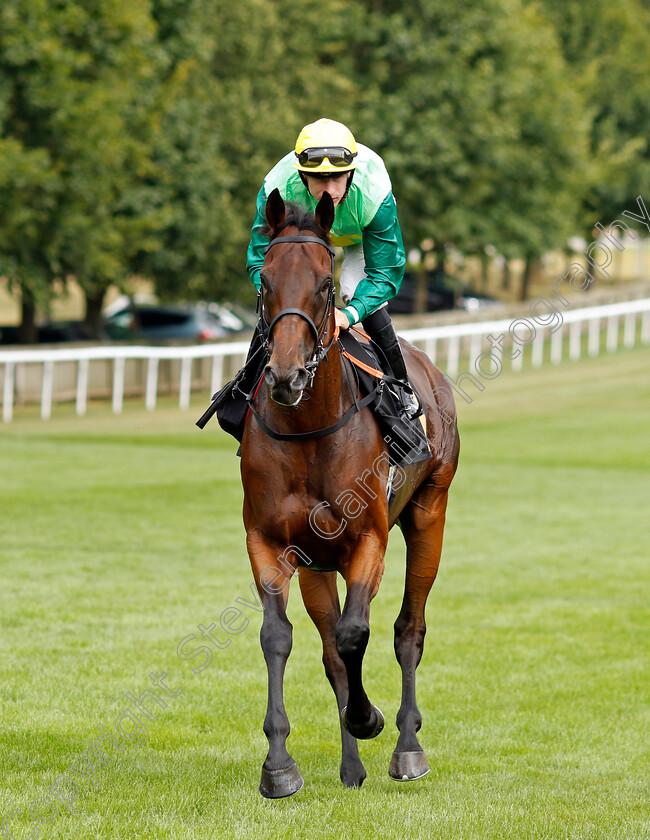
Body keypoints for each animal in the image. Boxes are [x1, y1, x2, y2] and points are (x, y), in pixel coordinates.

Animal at [240, 187, 458, 796]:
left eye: (326, 284)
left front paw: (368, 718)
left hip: (430, 512)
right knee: (330, 649)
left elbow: (355, 634)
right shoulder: (270, 541)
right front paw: (279, 766)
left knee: (409, 630)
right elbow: (280, 637)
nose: (286, 376)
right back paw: (351, 767)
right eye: (265, 281)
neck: (308, 430)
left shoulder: (369, 540)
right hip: (317, 561)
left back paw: (406, 748)